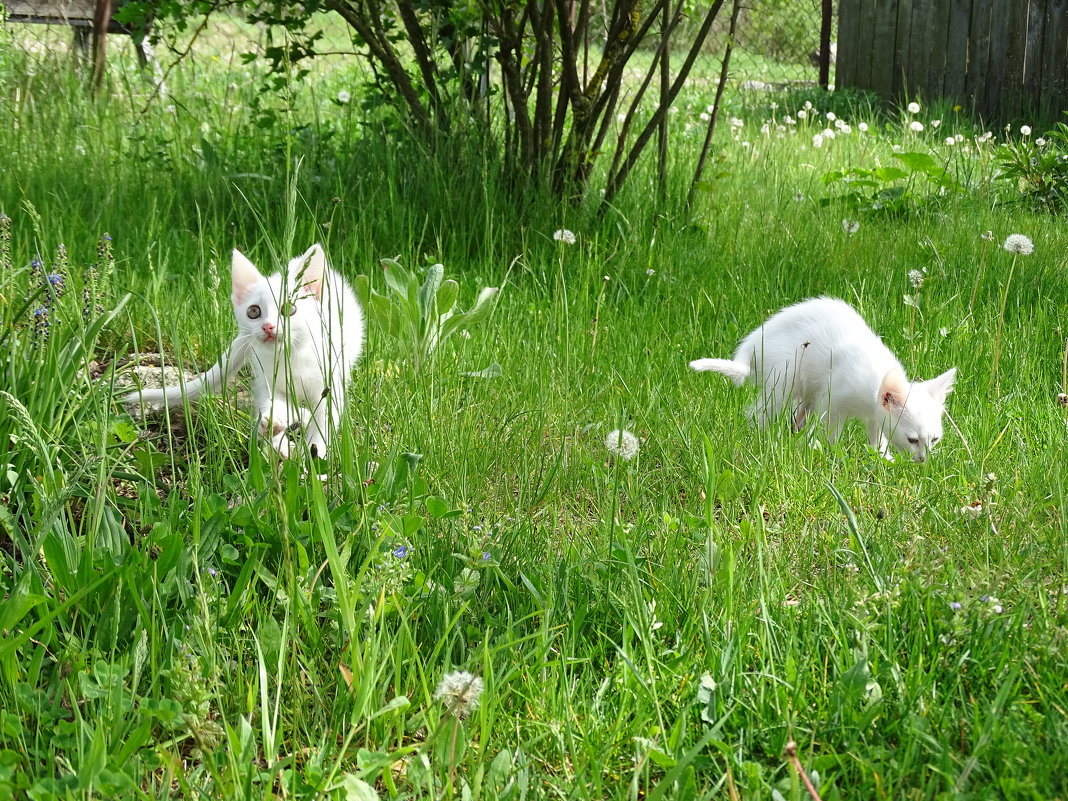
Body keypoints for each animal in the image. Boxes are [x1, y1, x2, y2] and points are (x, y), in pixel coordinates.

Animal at [123, 241, 365, 461]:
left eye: (290, 309)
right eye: (254, 311)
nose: (268, 326)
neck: (293, 356)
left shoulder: (330, 384)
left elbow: (324, 422)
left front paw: (316, 454)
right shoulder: (271, 380)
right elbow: (274, 403)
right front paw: (275, 425)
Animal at [692, 296, 961, 463]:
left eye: (934, 439)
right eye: (913, 440)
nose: (924, 460)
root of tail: (752, 342)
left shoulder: (874, 416)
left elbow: (877, 436)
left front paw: (882, 457)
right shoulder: (832, 403)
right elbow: (830, 433)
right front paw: (831, 455)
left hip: (806, 390)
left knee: (796, 416)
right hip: (786, 377)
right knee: (760, 412)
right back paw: (762, 438)